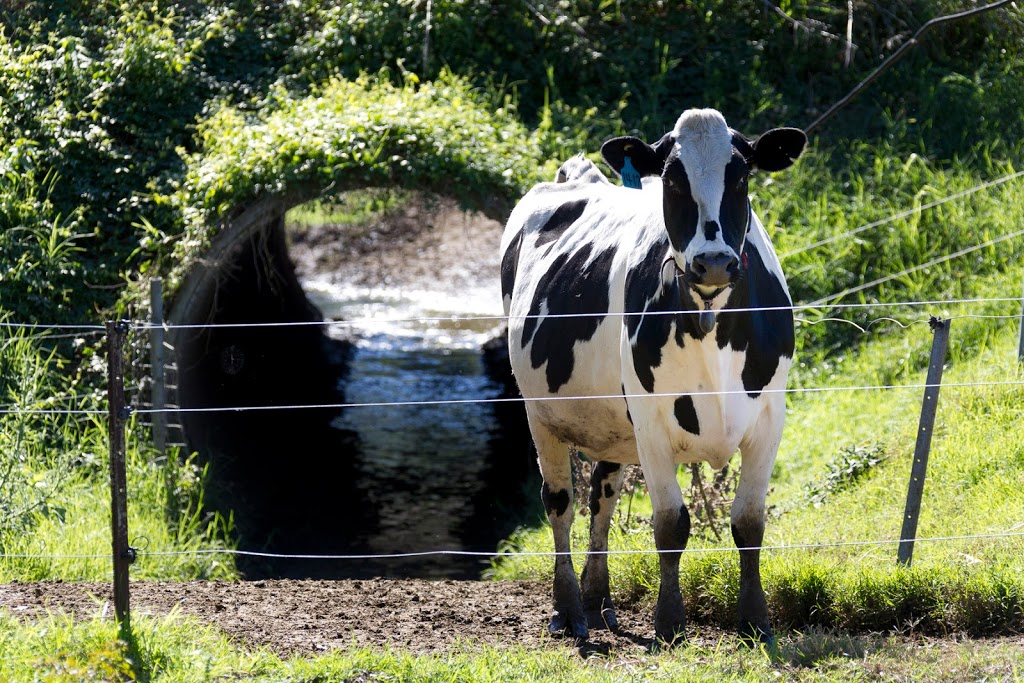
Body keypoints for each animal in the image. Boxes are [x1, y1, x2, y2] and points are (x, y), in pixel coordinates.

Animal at [499, 109, 802, 643]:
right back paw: (570, 609)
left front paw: (755, 620)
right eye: (673, 178)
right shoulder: (652, 422)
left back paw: (598, 599)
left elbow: (749, 523)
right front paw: (669, 622)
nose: (714, 260)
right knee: (560, 503)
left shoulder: (769, 417)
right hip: (541, 416)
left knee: (602, 498)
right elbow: (670, 525)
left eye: (741, 175)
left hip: (612, 428)